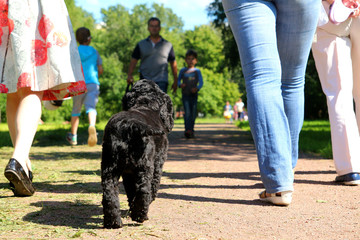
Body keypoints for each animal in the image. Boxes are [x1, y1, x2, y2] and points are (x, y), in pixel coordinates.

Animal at [101, 79, 174, 229]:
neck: (144, 104)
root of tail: (130, 125)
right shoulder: (158, 162)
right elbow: (152, 185)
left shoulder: (127, 173)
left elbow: (130, 190)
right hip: (145, 166)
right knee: (144, 189)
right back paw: (140, 215)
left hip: (109, 166)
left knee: (109, 192)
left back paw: (113, 222)